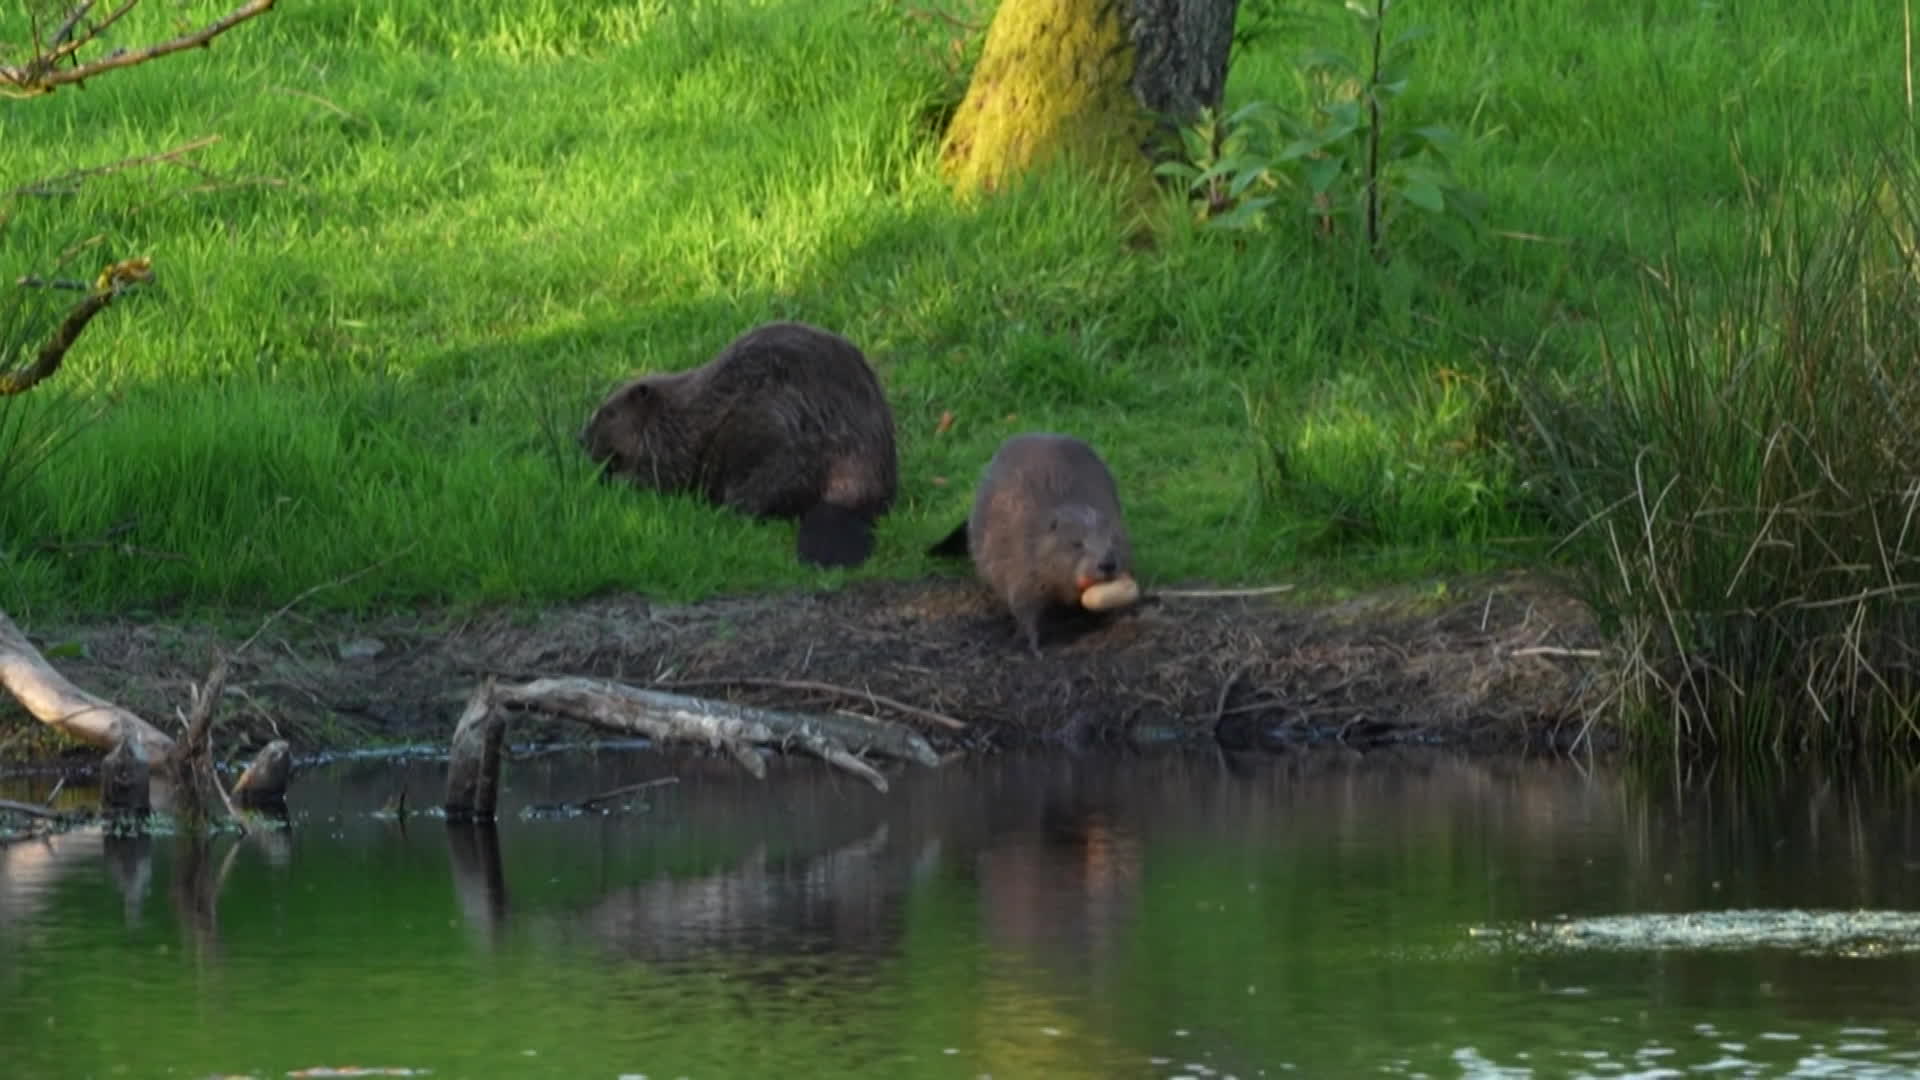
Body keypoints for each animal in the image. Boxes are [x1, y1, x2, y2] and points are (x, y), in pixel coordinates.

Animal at [579, 319, 902, 568]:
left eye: (609, 413)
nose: (581, 438)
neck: (677, 411)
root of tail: (851, 498)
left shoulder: (673, 443)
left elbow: (661, 475)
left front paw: (610, 478)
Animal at [933, 430, 1136, 653]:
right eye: (1076, 544)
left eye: (1114, 541)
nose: (1107, 564)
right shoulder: (1020, 562)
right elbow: (1023, 604)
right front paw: (1033, 644)